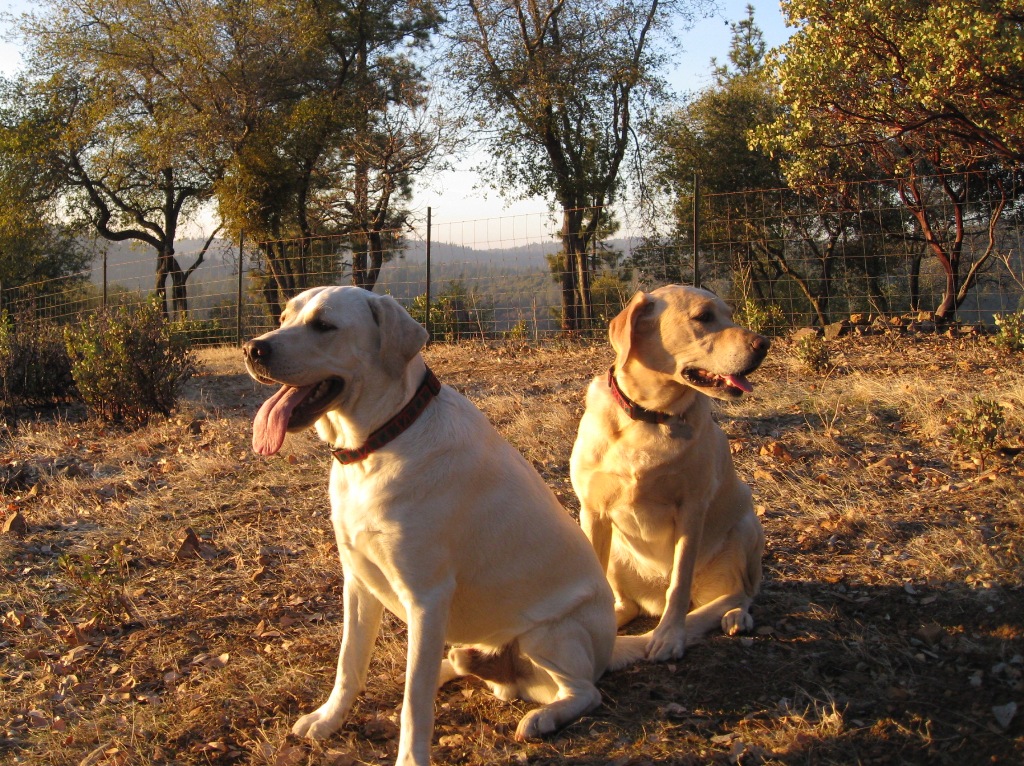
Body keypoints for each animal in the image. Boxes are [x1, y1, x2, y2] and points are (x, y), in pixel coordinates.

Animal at [242, 286, 643, 766]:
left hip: (551, 633)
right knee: (447, 666)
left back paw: (543, 718)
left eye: (324, 325)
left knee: (585, 691)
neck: (382, 439)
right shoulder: (358, 580)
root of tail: (610, 647)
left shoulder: (426, 597)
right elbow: (348, 663)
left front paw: (410, 758)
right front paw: (328, 719)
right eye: (284, 317)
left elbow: (415, 706)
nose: (253, 348)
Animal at [569, 286, 770, 663]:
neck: (649, 416)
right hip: (616, 549)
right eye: (704, 317)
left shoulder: (691, 510)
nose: (764, 343)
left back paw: (736, 616)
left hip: (746, 526)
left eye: (730, 314)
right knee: (627, 602)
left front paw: (669, 636)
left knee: (742, 591)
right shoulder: (592, 511)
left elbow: (679, 583)